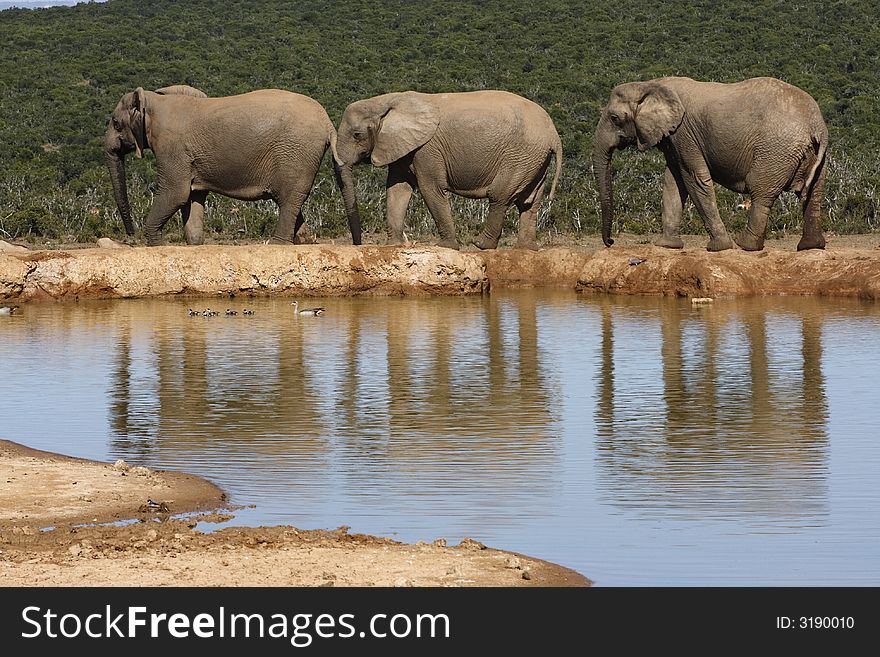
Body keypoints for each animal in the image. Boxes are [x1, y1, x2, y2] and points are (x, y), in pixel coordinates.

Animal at [104, 84, 360, 243]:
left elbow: (175, 193)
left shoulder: (172, 148)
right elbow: (192, 199)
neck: (154, 101)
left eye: (116, 123)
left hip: (296, 153)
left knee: (288, 200)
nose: (130, 234)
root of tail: (328, 123)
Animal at [334, 89, 560, 249]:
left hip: (520, 156)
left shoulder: (427, 149)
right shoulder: (401, 147)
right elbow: (397, 188)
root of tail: (554, 135)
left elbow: (430, 188)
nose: (358, 244)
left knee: (499, 196)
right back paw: (526, 249)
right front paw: (393, 246)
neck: (387, 100)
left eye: (356, 135)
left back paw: (481, 245)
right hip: (535, 160)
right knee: (529, 203)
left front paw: (446, 247)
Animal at [596, 76, 828, 251]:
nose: (611, 242)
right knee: (814, 193)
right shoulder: (671, 138)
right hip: (814, 155)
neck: (650, 84)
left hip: (775, 149)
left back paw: (745, 245)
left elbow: (694, 178)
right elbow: (673, 181)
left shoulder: (684, 133)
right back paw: (810, 247)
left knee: (761, 192)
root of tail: (816, 124)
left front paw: (719, 248)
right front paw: (667, 245)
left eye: (614, 118)